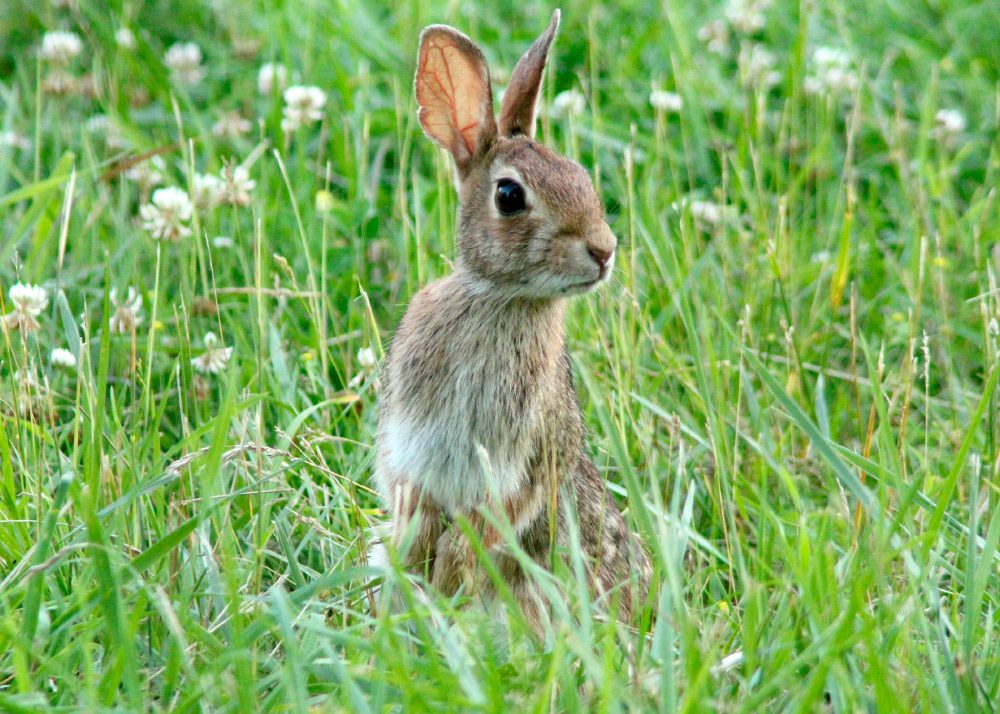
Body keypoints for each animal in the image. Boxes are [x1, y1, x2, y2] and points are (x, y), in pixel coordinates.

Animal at [372, 6, 652, 628]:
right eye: (508, 195)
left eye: (581, 176)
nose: (604, 250)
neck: (500, 299)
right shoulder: (413, 447)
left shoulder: (523, 459)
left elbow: (490, 520)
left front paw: (448, 579)